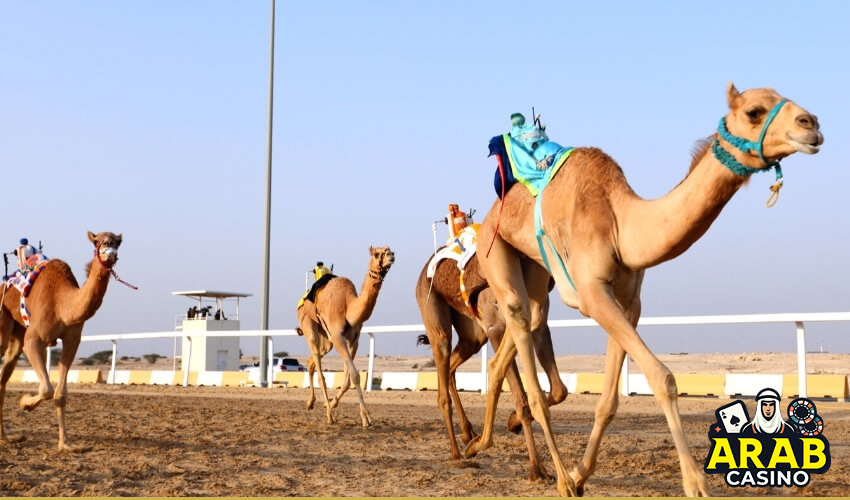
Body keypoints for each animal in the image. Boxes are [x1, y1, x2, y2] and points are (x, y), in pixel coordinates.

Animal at [0, 232, 125, 452]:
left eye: (118, 241)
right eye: (97, 240)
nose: (109, 246)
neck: (62, 304)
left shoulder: (72, 340)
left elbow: (60, 395)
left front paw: (66, 444)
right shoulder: (33, 340)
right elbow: (47, 389)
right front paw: (25, 403)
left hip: (17, 333)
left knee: (4, 378)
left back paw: (7, 438)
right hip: (3, 322)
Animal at [294, 245, 394, 426]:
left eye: (389, 250)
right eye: (377, 254)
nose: (392, 256)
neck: (349, 305)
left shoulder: (353, 339)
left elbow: (349, 378)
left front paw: (335, 404)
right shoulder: (338, 336)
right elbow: (354, 375)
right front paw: (365, 418)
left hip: (326, 339)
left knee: (311, 362)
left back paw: (310, 403)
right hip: (308, 324)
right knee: (319, 371)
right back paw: (329, 416)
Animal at [414, 252, 568, 482]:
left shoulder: (537, 325)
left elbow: (559, 390)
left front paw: (512, 422)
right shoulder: (496, 328)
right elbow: (521, 399)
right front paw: (537, 469)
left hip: (473, 337)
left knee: (451, 368)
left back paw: (468, 434)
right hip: (434, 312)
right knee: (443, 383)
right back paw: (457, 453)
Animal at [464, 83, 820, 496]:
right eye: (754, 111)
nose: (811, 124)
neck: (621, 222)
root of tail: (491, 212)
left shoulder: (628, 301)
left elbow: (609, 401)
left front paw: (582, 475)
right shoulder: (593, 293)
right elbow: (662, 378)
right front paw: (696, 484)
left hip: (534, 265)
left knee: (525, 322)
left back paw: (480, 443)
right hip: (494, 247)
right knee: (520, 326)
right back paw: (555, 477)